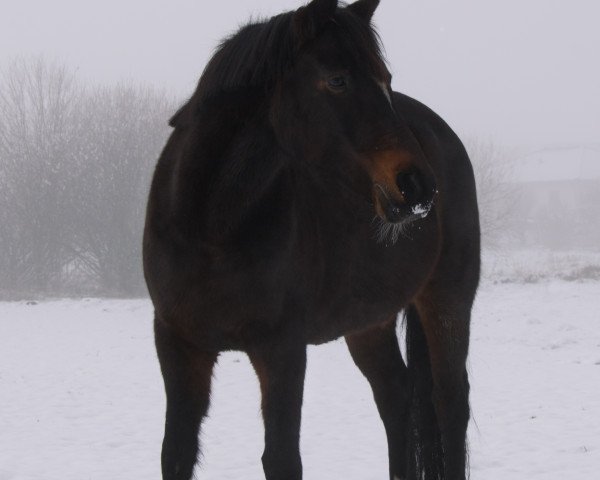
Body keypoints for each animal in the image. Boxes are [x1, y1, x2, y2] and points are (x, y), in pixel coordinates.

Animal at [143, 0, 480, 480]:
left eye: (385, 79)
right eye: (336, 79)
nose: (418, 186)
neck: (212, 227)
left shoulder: (281, 350)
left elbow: (281, 457)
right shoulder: (178, 344)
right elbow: (176, 452)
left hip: (448, 298)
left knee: (449, 402)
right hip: (368, 321)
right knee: (395, 396)